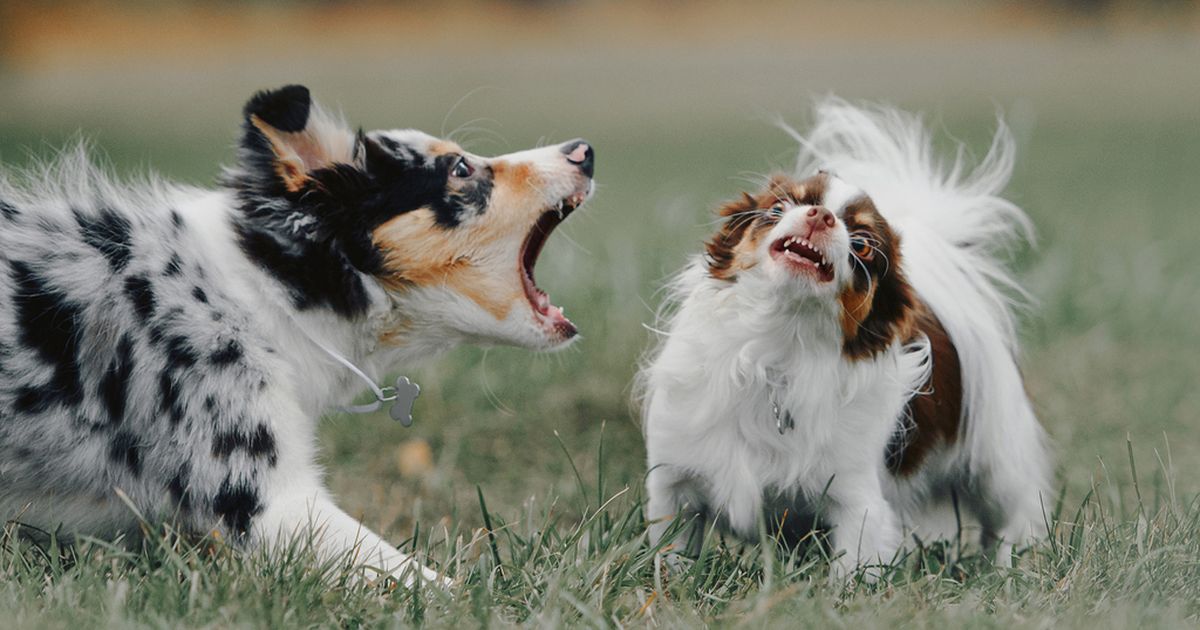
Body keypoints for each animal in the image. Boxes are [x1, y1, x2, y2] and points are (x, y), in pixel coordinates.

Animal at [638, 98, 1051, 580]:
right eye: (779, 208)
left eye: (865, 246)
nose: (821, 215)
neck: (779, 349)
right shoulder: (675, 484)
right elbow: (671, 555)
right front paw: (669, 584)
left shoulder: (856, 501)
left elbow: (853, 568)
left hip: (994, 463)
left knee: (1012, 515)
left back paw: (1011, 567)